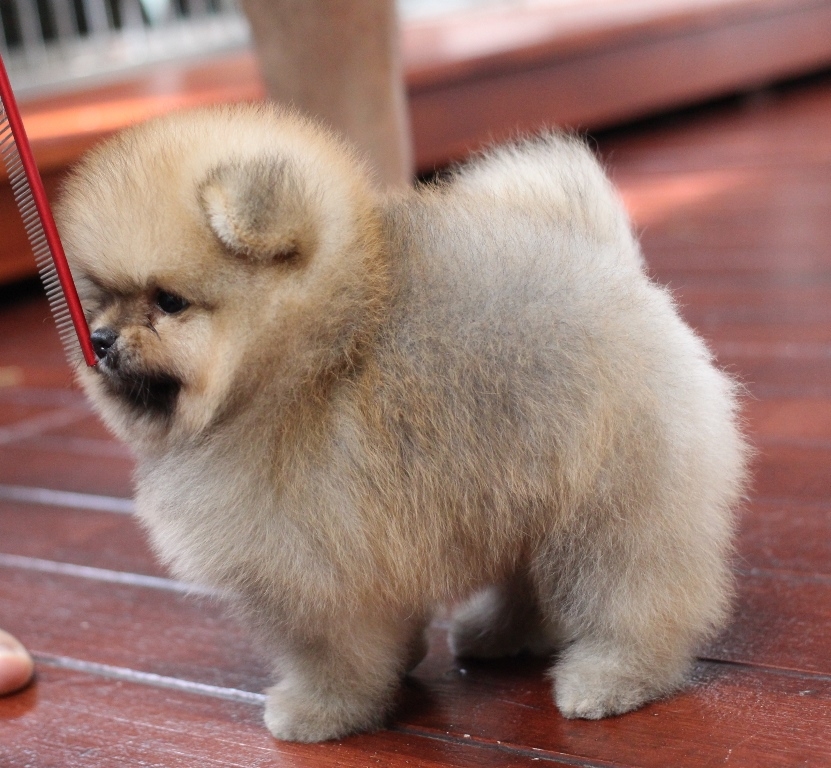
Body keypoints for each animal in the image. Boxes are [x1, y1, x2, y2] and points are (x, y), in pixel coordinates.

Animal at [56, 103, 747, 742]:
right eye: (101, 297)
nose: (100, 339)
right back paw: (498, 632)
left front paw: (318, 711)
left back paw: (612, 676)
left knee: (639, 590)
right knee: (537, 575)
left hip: (614, 495)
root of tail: (612, 269)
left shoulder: (311, 569)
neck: (312, 360)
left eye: (169, 301)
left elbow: (330, 655)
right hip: (533, 481)